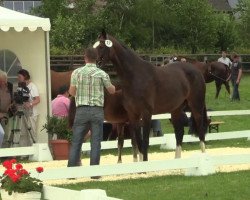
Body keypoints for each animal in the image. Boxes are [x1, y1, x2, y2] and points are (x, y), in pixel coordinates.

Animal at [94, 30, 208, 160]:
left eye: (101, 46)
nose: (97, 63)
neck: (135, 76)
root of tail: (197, 71)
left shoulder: (146, 113)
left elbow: (145, 142)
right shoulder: (133, 115)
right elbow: (138, 142)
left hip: (196, 107)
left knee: (201, 132)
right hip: (176, 110)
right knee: (179, 133)